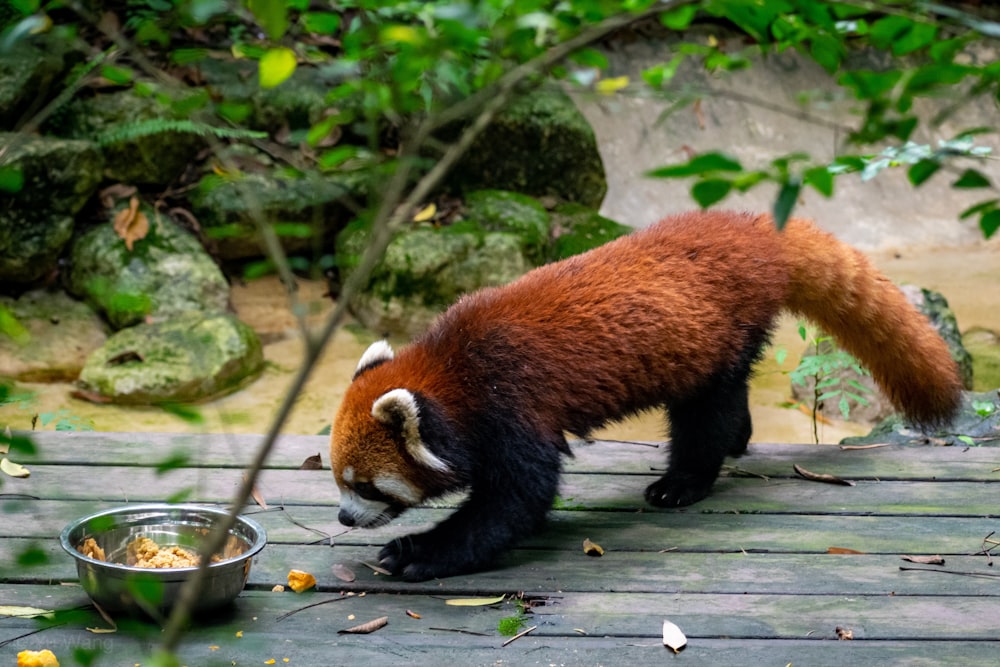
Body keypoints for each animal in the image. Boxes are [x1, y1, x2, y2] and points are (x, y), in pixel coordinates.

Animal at [332, 209, 964, 580]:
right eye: (337, 479)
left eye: (365, 485)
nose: (341, 516)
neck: (454, 368)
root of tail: (753, 227)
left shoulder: (511, 405)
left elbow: (514, 502)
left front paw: (419, 553)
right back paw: (737, 442)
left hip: (716, 334)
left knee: (706, 412)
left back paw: (684, 481)